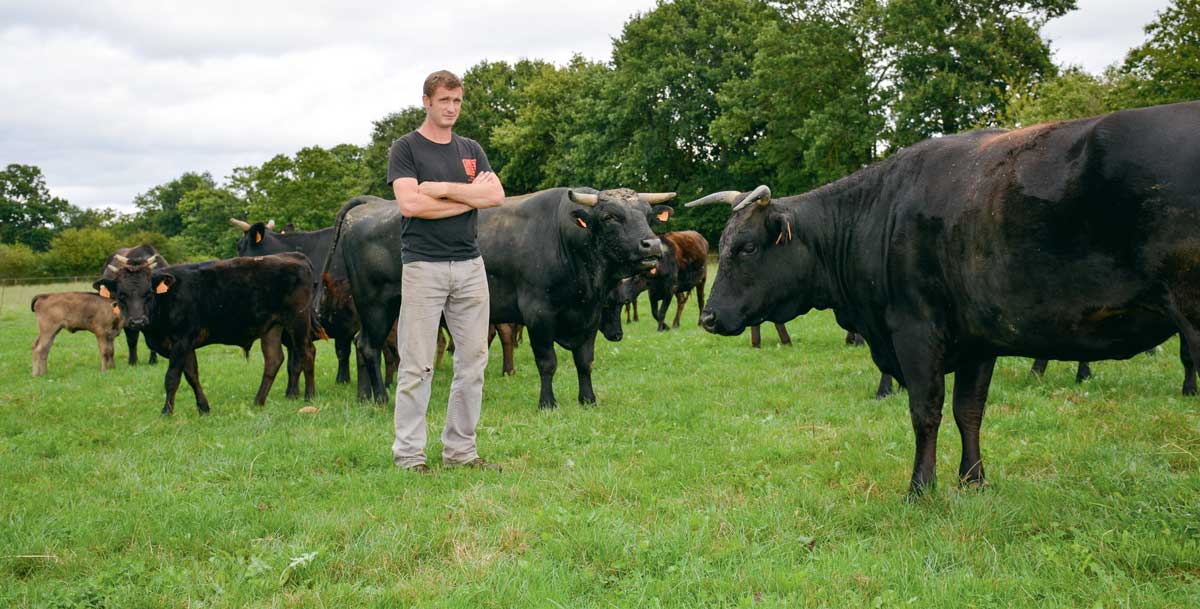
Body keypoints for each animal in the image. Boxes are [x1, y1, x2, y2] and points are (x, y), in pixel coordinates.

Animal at [94, 250, 319, 414]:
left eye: (148, 293)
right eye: (121, 295)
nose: (137, 321)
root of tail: (294, 256)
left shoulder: (181, 341)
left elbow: (172, 378)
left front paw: (166, 411)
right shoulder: (185, 345)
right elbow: (192, 376)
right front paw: (203, 407)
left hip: (297, 321)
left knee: (307, 352)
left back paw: (309, 396)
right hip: (272, 327)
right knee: (274, 360)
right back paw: (258, 401)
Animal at [324, 188, 672, 407]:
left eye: (648, 216)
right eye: (611, 216)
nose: (652, 245)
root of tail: (370, 208)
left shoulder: (588, 316)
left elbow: (584, 361)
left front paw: (588, 399)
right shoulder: (538, 315)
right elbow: (548, 362)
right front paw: (548, 403)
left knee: (360, 344)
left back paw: (364, 396)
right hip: (375, 305)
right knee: (369, 347)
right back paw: (381, 398)